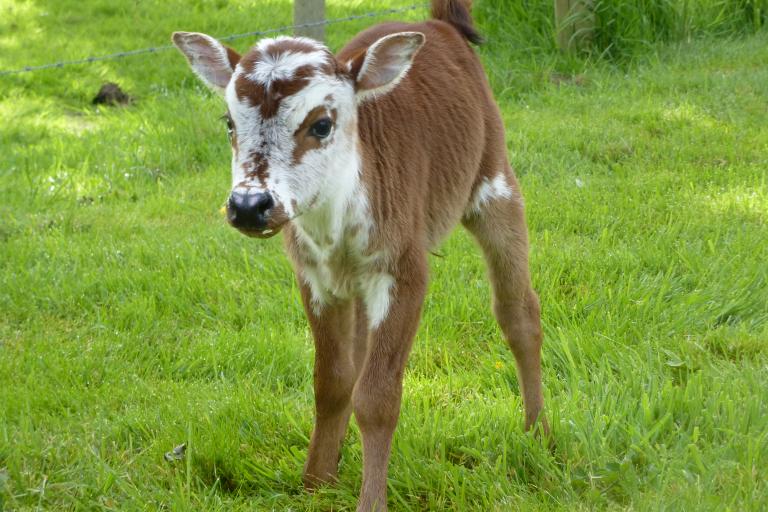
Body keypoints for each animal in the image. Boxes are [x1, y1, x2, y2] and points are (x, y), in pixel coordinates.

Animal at [172, 2, 544, 510]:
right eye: (229, 123)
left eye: (321, 124)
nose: (249, 205)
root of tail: (437, 25)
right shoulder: (313, 276)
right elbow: (331, 382)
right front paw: (315, 483)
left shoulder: (404, 269)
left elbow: (378, 397)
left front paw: (370, 500)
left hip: (494, 179)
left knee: (518, 311)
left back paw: (539, 434)